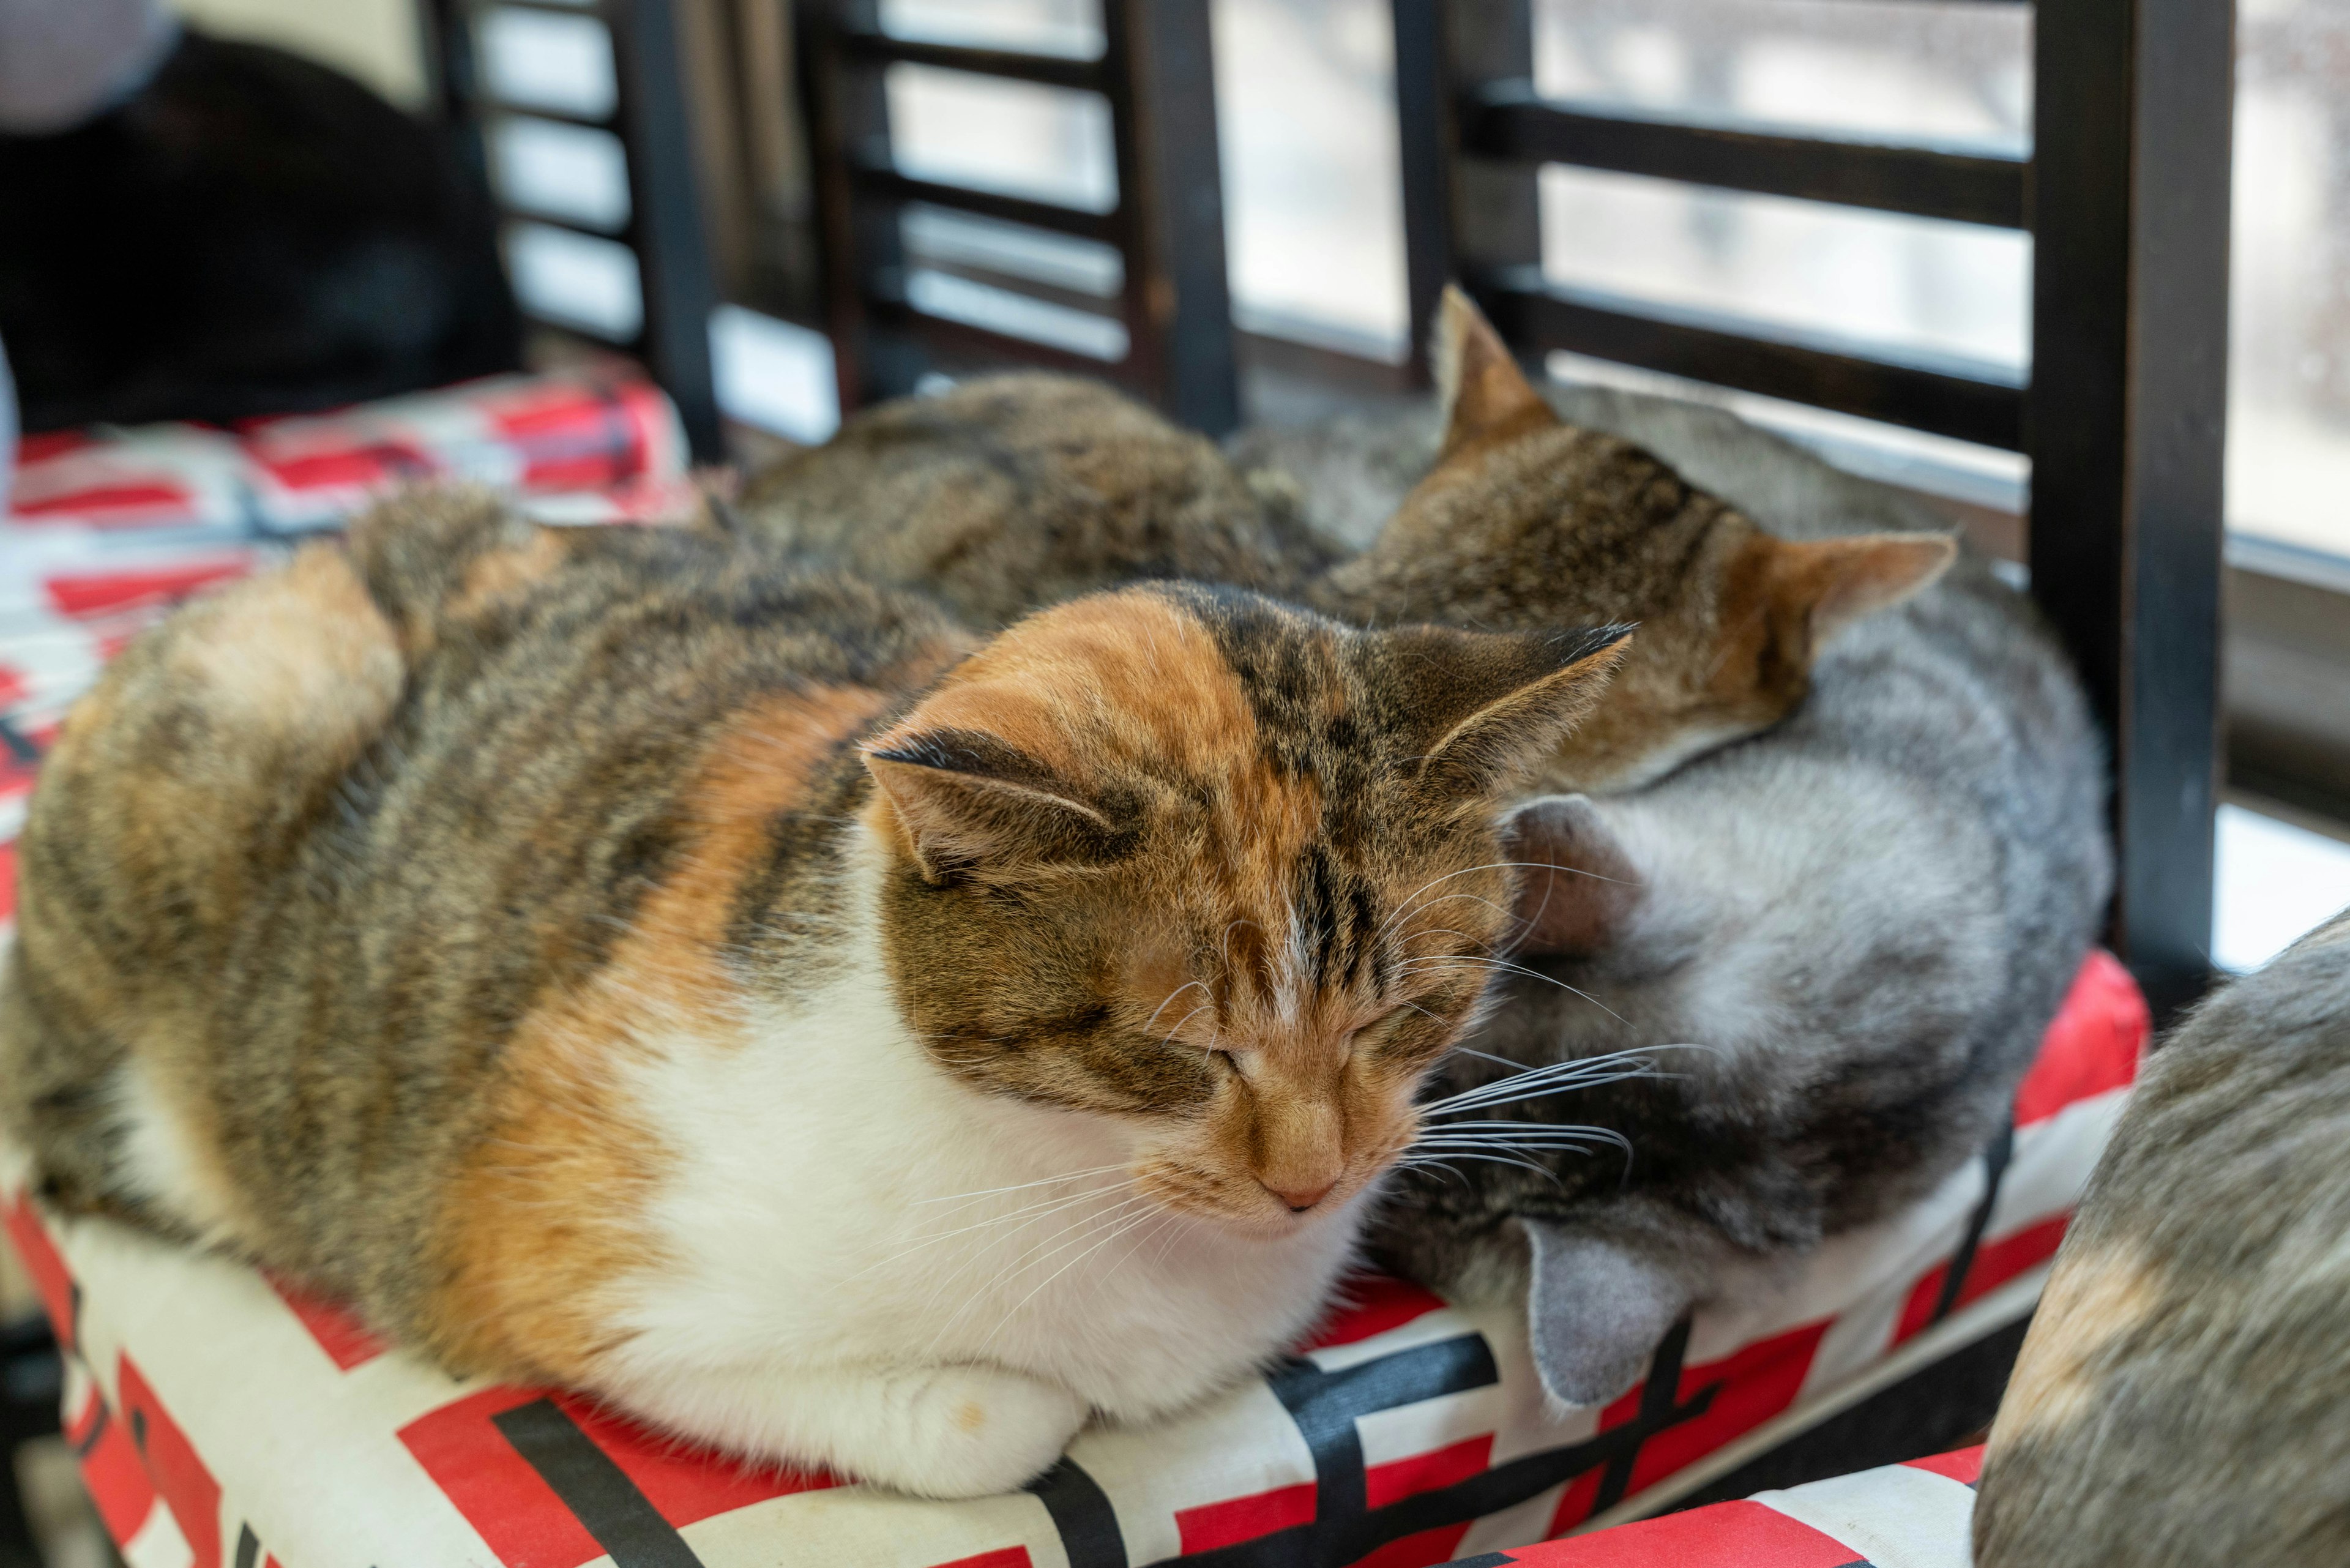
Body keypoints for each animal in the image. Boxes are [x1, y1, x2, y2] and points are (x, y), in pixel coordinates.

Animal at [0, 491, 1635, 1495]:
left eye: (1404, 1009)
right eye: (1182, 1048)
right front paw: (1020, 1399)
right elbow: (987, 1418)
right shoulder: (570, 1271)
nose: (1316, 1181)